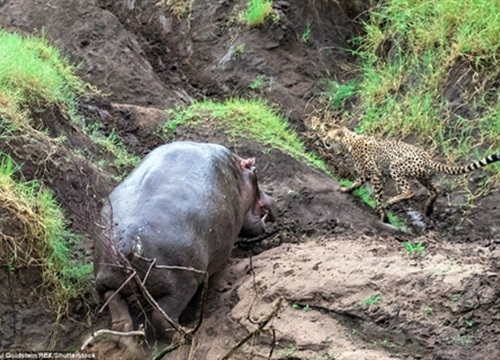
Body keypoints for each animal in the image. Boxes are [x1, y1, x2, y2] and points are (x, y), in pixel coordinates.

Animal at [324, 126, 500, 222]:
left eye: (329, 136)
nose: (324, 140)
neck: (350, 142)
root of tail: (427, 156)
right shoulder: (371, 175)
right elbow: (356, 183)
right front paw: (345, 189)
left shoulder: (376, 175)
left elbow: (378, 196)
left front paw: (383, 215)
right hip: (422, 176)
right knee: (435, 190)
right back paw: (428, 209)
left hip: (396, 167)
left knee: (409, 191)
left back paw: (392, 201)